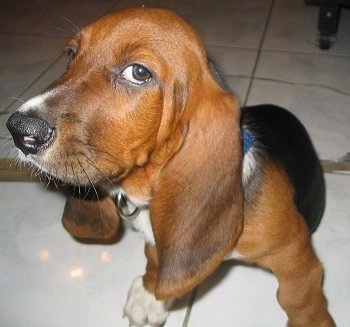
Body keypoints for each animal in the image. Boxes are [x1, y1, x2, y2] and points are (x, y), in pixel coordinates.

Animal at [4, 5, 334, 327]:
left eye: (138, 72)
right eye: (71, 54)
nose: (20, 130)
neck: (142, 189)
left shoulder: (295, 253)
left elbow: (300, 301)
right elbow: (155, 258)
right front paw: (151, 294)